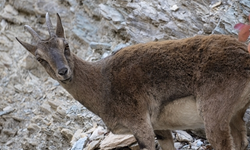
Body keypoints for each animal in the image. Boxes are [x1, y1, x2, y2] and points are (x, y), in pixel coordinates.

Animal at [16, 13, 250, 150]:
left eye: (66, 45)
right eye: (40, 58)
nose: (64, 71)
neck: (102, 84)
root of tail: (245, 57)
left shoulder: (140, 124)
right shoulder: (160, 128)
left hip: (214, 115)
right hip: (235, 114)